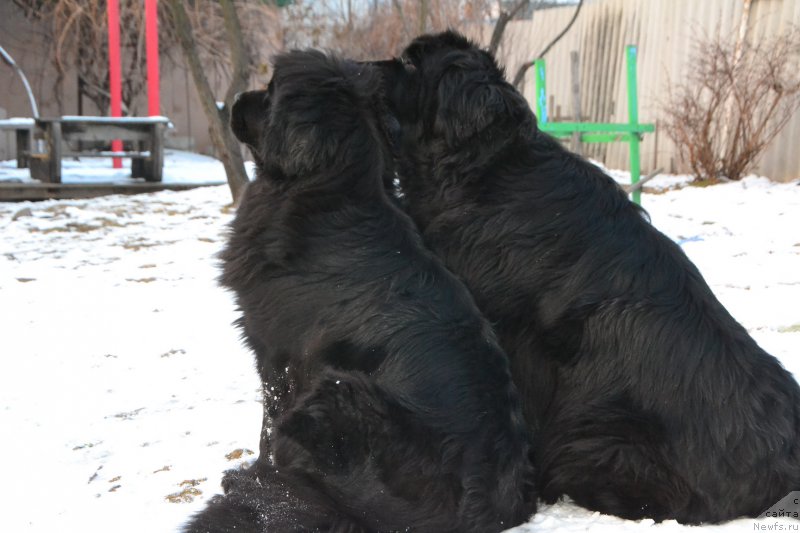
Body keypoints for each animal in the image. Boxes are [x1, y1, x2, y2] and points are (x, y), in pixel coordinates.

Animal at [185, 50, 536, 532]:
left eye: (271, 91)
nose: (234, 100)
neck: (329, 195)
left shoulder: (279, 360)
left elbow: (267, 428)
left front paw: (258, 473)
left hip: (338, 391)